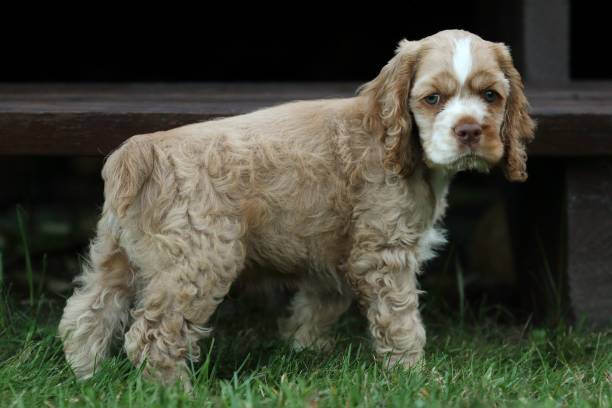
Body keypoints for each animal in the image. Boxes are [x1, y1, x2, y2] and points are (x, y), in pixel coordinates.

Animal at [58, 30, 536, 384]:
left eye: (491, 96)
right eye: (432, 99)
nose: (469, 131)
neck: (394, 138)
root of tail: (144, 149)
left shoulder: (332, 254)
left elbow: (319, 304)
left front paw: (307, 353)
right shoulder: (382, 251)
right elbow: (401, 320)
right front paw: (414, 376)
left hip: (115, 254)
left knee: (87, 313)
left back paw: (88, 379)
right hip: (197, 262)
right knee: (150, 334)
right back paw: (173, 390)